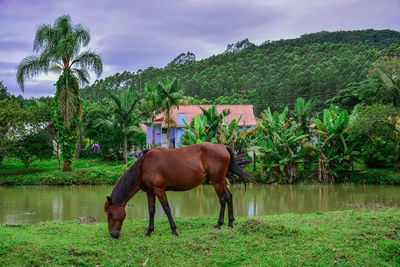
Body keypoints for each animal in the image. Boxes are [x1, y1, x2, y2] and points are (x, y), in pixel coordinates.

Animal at [104, 142, 248, 239]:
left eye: (110, 213)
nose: (114, 234)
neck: (143, 167)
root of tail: (223, 147)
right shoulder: (150, 192)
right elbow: (151, 211)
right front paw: (149, 232)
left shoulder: (159, 190)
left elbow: (167, 209)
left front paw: (174, 231)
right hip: (220, 181)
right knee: (229, 196)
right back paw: (230, 223)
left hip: (217, 181)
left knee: (222, 199)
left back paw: (219, 225)